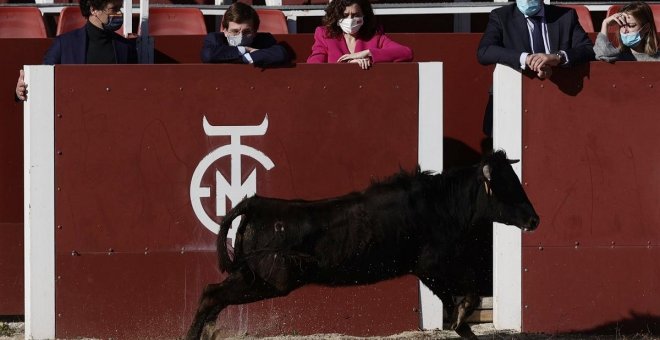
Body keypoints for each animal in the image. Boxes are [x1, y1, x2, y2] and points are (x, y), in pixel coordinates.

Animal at [188, 150, 540, 338]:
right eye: (506, 188)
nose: (534, 220)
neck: (440, 203)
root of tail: (256, 204)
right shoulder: (432, 265)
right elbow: (467, 293)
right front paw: (463, 315)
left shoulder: (430, 270)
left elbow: (459, 304)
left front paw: (461, 323)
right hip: (269, 281)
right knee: (212, 295)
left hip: (252, 276)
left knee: (210, 295)